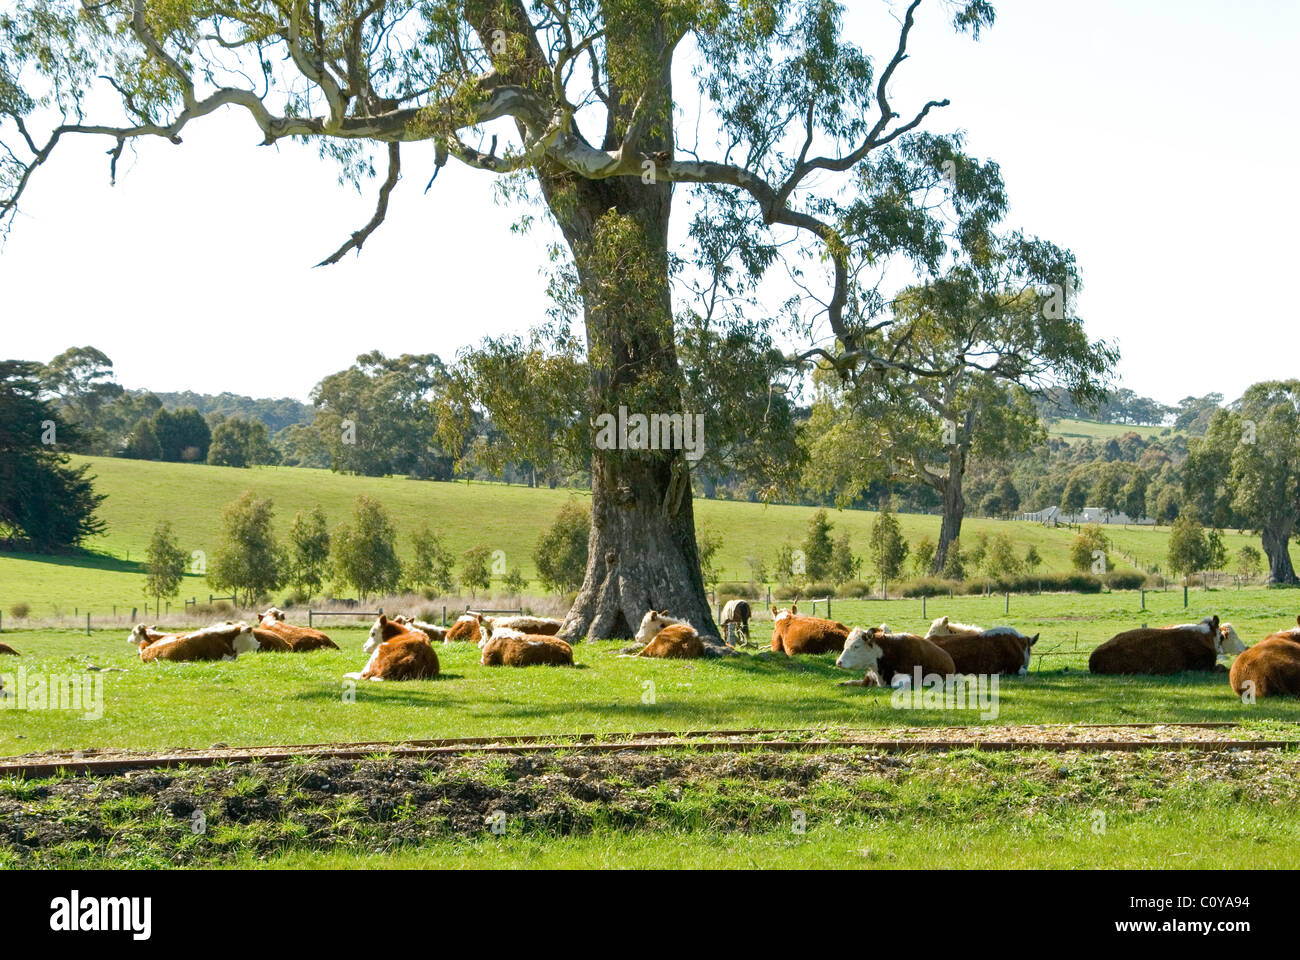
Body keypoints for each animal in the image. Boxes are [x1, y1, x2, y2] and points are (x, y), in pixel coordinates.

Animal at [1088, 616, 1244, 674]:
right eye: (1224, 636)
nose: (1246, 648)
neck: (1206, 637)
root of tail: (1094, 656)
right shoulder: (1203, 666)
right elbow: (1222, 667)